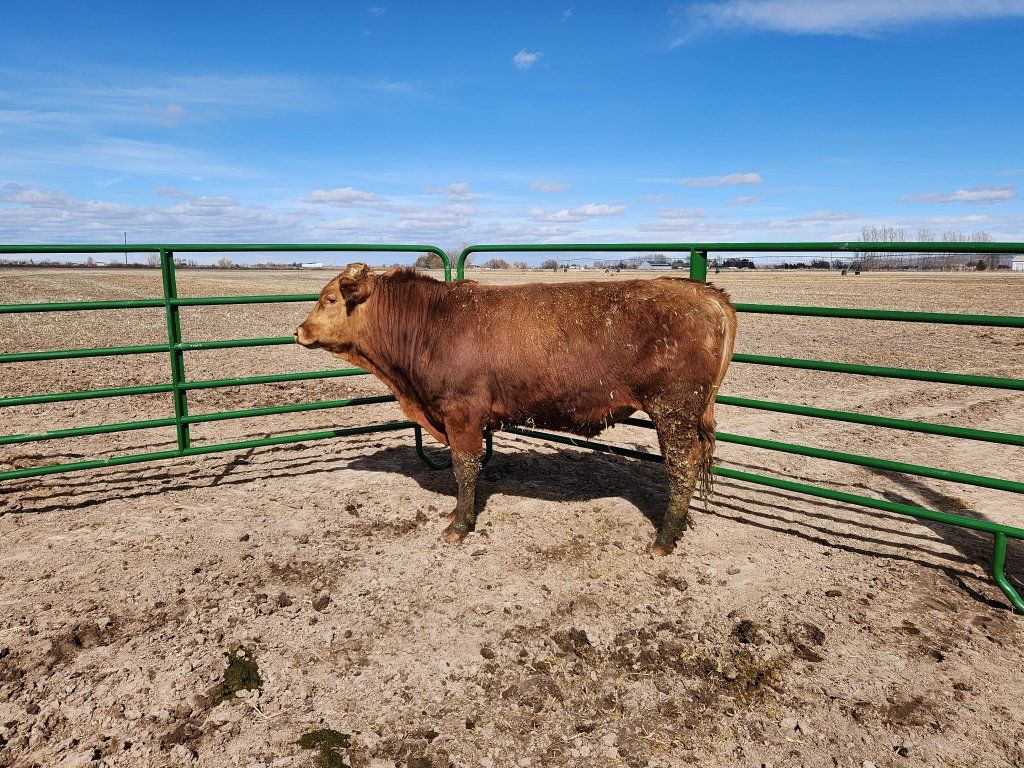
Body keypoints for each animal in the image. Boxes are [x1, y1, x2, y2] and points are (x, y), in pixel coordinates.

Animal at [295, 263, 737, 556]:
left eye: (330, 298)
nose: (298, 330)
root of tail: (704, 293)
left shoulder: (461, 413)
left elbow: (465, 468)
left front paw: (459, 526)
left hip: (674, 410)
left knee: (682, 466)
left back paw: (664, 539)